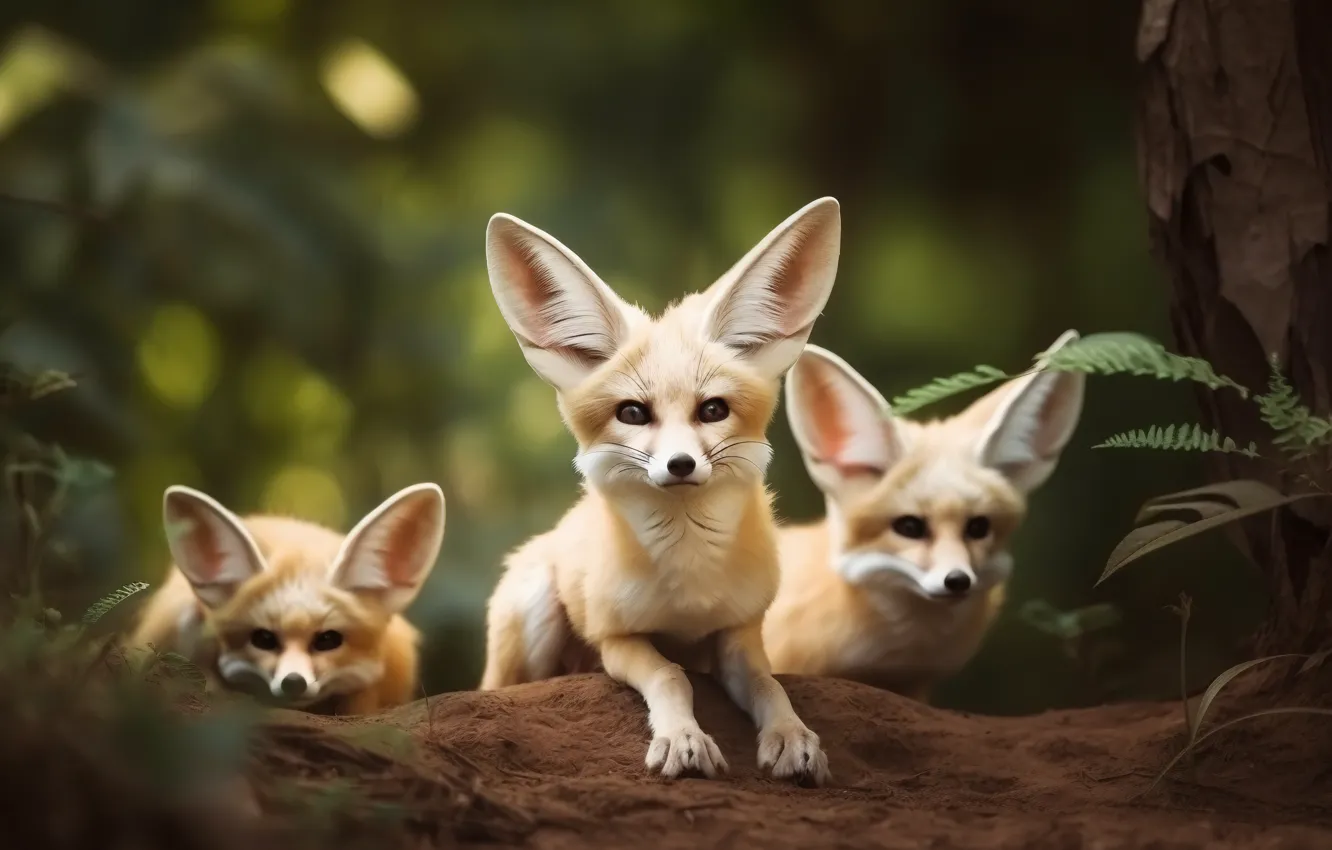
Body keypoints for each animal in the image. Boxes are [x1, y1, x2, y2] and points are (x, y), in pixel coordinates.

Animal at [478, 197, 843, 786]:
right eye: (633, 414)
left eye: (712, 409)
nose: (680, 464)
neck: (689, 578)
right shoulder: (617, 639)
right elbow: (672, 676)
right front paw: (683, 739)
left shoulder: (740, 630)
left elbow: (770, 684)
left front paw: (791, 737)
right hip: (534, 613)